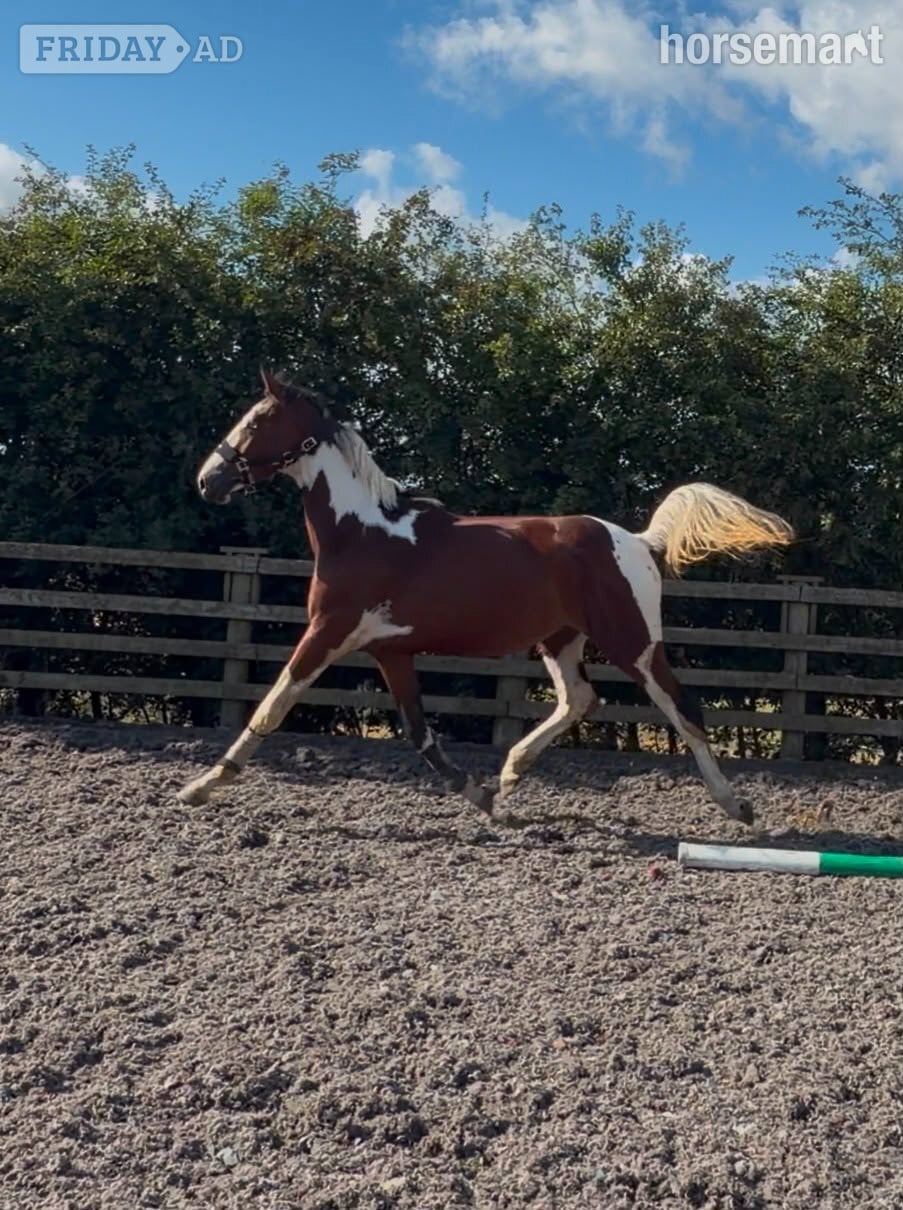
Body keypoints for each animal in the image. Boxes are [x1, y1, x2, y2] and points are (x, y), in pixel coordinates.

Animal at [178, 369, 794, 826]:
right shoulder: (390, 651)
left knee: (684, 709)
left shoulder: (327, 632)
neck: (362, 531)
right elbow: (420, 734)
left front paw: (201, 787)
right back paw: (512, 771)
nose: (208, 480)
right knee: (580, 699)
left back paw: (738, 806)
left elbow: (272, 705)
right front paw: (483, 797)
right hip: (561, 638)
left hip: (633, 643)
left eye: (257, 420)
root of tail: (640, 541)